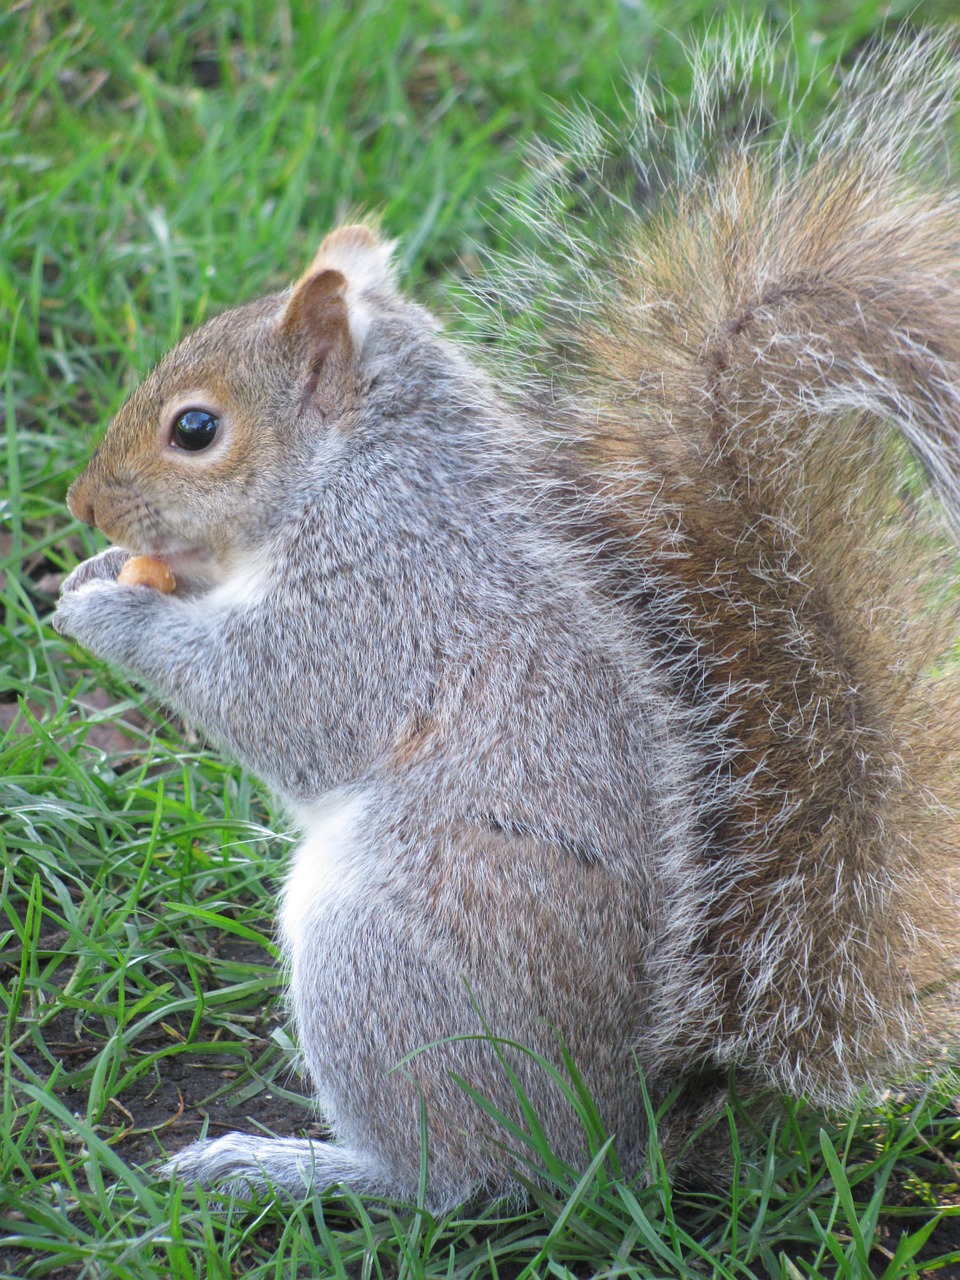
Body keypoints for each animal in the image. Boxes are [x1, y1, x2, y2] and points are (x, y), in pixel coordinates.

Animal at [50, 32, 960, 1208]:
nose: (83, 505)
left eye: (195, 429)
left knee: (449, 1178)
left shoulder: (388, 599)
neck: (359, 472)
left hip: (380, 961)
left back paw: (287, 1163)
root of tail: (618, 1129)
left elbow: (282, 701)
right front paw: (103, 566)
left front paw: (102, 604)